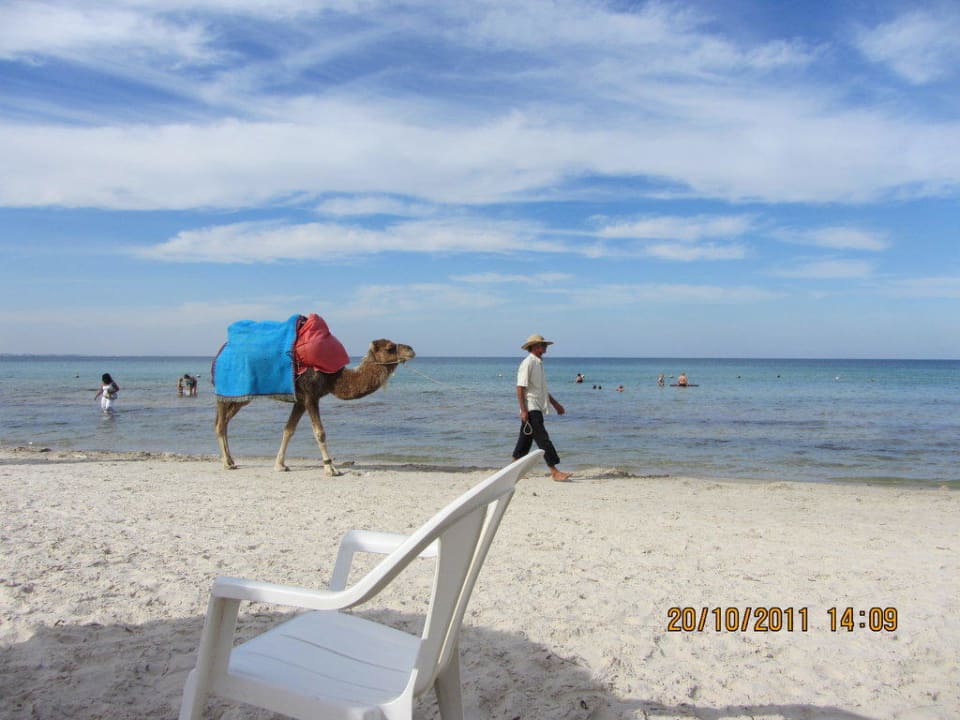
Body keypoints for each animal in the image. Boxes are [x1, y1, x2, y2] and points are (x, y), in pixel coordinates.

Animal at [215, 338, 415, 475]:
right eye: (390, 347)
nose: (411, 350)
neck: (332, 376)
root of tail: (218, 355)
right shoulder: (311, 395)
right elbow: (320, 432)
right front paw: (331, 469)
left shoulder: (300, 401)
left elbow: (288, 429)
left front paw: (280, 465)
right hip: (226, 392)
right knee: (220, 424)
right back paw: (226, 463)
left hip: (240, 397)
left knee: (225, 422)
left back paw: (231, 460)